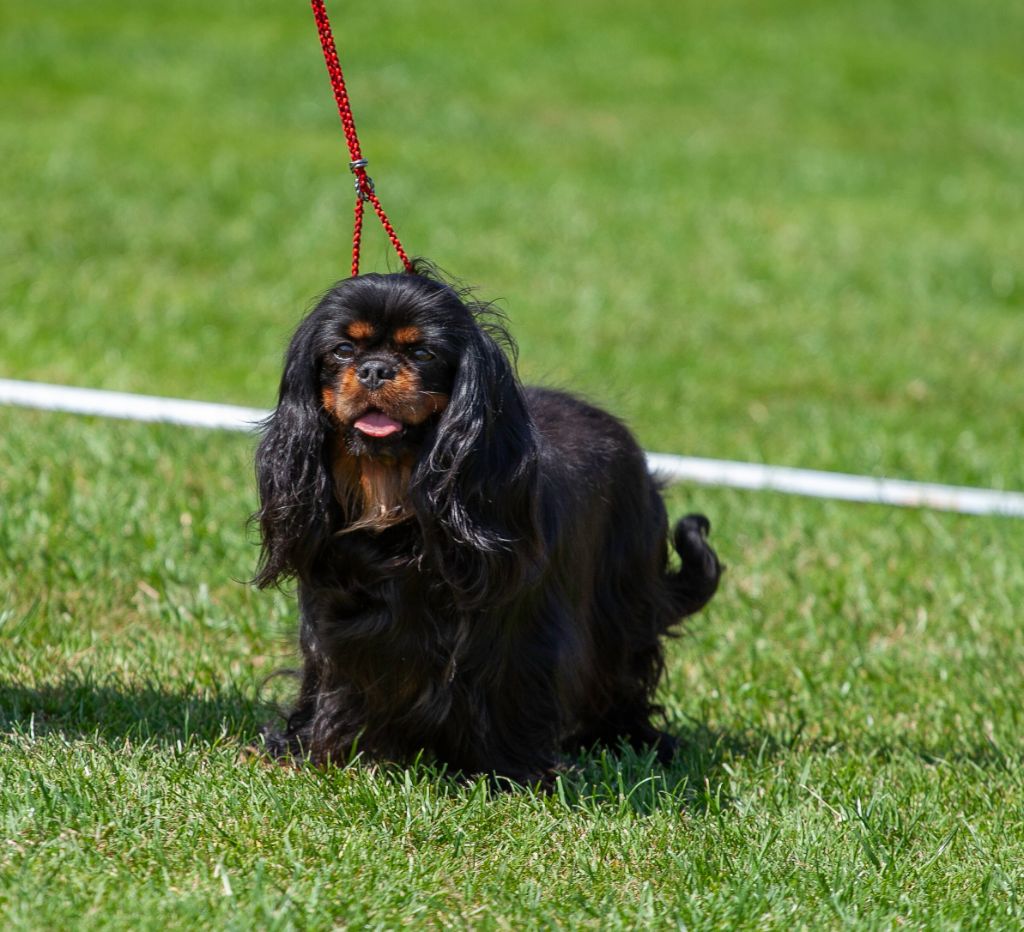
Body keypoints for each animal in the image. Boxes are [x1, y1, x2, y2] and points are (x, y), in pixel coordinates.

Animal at [254, 270, 720, 786]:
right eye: (341, 350)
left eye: (423, 353)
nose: (375, 370)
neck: (394, 499)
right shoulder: (337, 627)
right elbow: (334, 683)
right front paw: (320, 749)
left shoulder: (519, 639)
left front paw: (514, 773)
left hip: (621, 603)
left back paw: (631, 737)